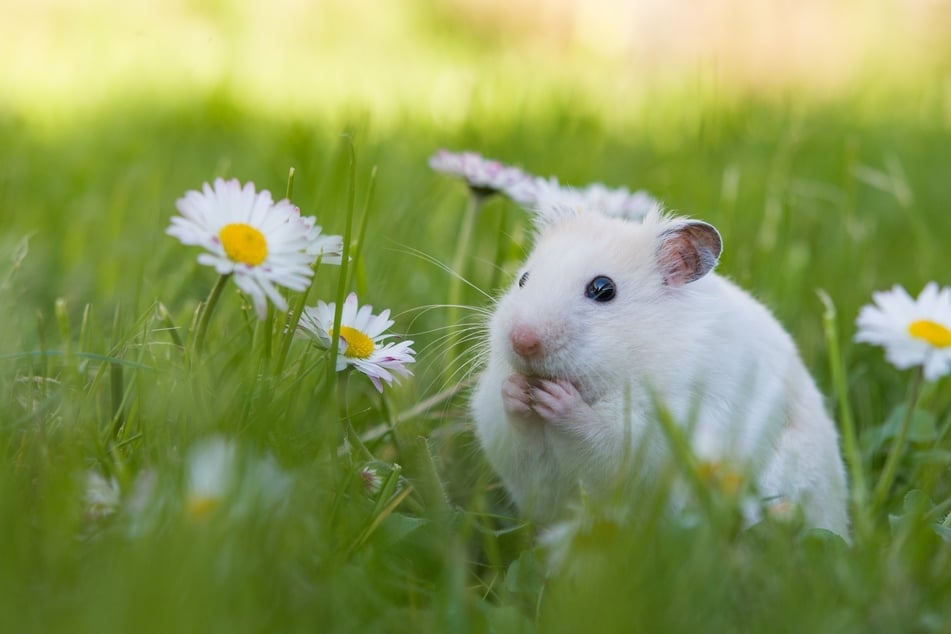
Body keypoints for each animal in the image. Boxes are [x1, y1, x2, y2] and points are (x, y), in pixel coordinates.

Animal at [472, 205, 852, 536]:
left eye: (603, 289)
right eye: (523, 279)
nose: (522, 340)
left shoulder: (662, 430)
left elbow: (603, 438)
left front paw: (558, 400)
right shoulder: (512, 449)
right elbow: (515, 433)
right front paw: (515, 391)